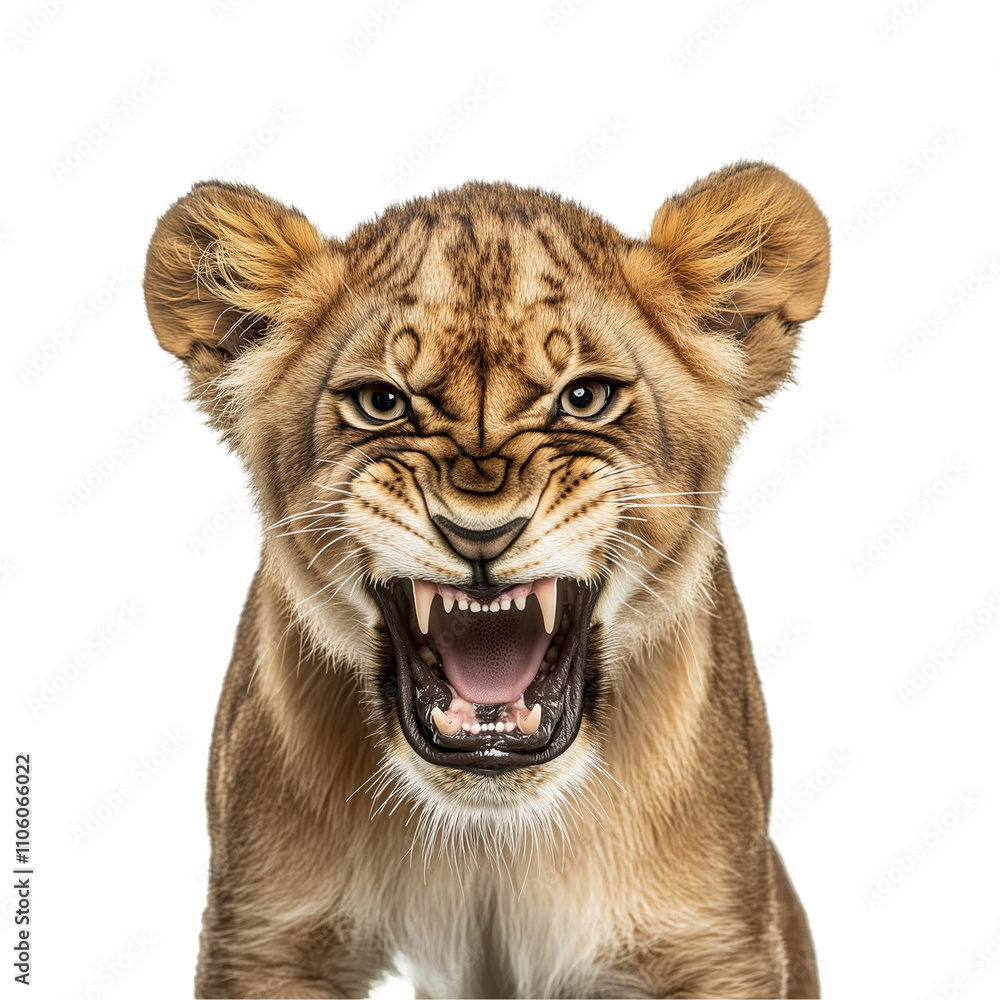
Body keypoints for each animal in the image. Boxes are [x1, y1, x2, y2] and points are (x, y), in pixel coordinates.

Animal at [143, 162, 829, 999]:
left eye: (585, 398)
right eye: (382, 403)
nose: (480, 533)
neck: (490, 835)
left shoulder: (716, 942)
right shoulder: (265, 938)